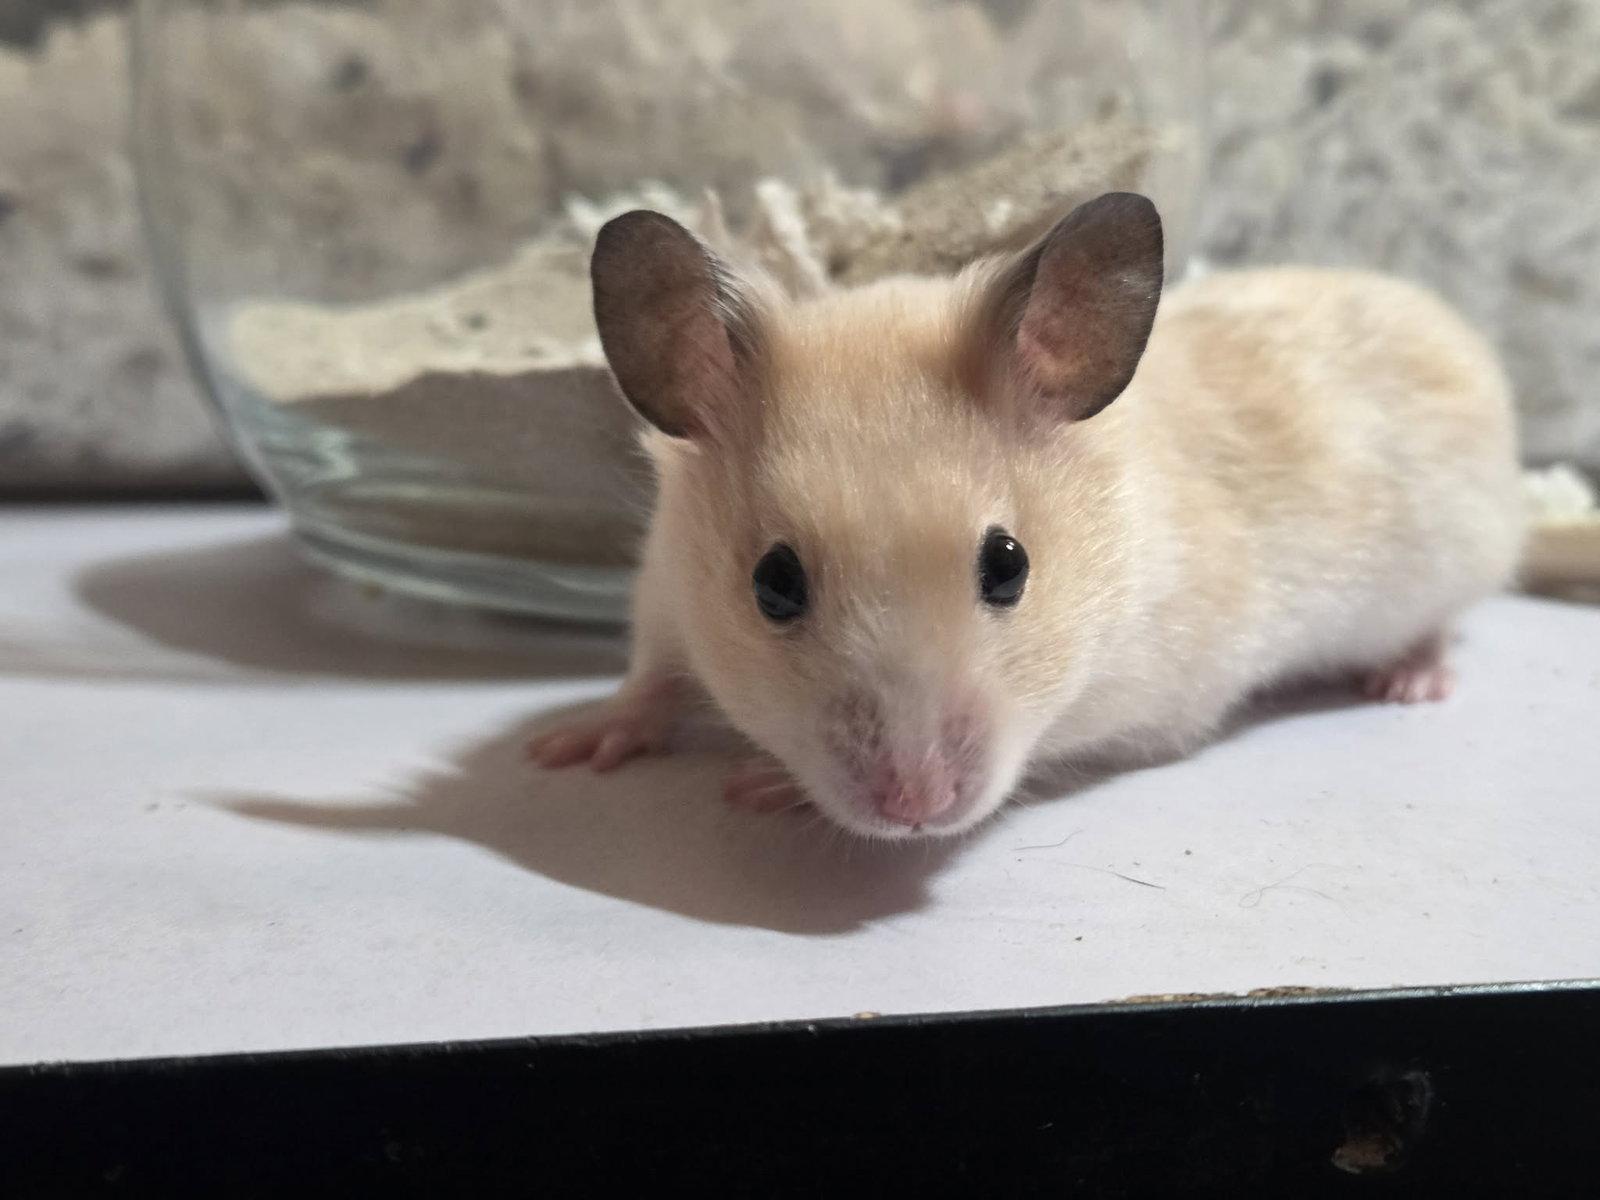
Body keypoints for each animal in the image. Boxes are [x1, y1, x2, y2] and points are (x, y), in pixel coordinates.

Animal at [528, 193, 1525, 840]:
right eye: (772, 583)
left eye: (1009, 566)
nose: (916, 809)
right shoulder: (664, 588)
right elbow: (649, 681)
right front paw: (563, 750)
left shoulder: (1169, 695)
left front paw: (759, 786)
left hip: (1457, 554)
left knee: (1440, 624)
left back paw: (1408, 683)